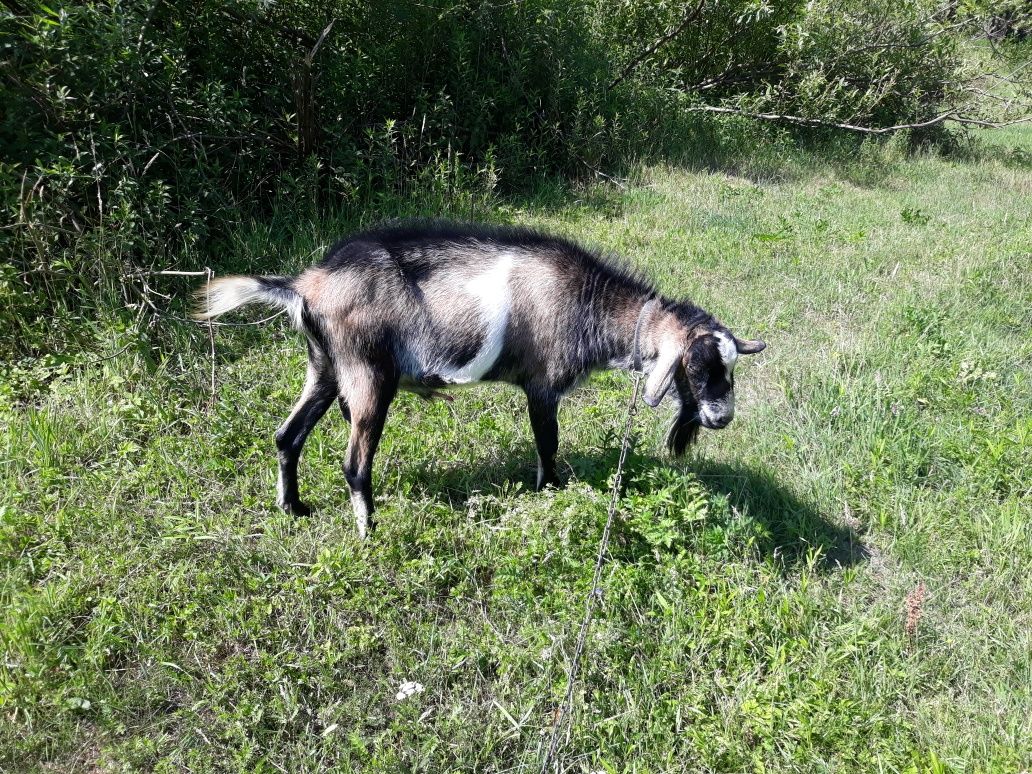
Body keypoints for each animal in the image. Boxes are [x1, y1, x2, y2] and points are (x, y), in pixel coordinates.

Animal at [194, 219, 763, 540]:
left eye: (730, 368)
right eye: (696, 369)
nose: (722, 417)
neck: (586, 303)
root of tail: (306, 285)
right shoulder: (542, 385)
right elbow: (548, 445)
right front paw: (548, 495)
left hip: (324, 367)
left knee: (286, 436)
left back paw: (294, 509)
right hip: (367, 374)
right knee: (354, 464)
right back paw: (369, 533)